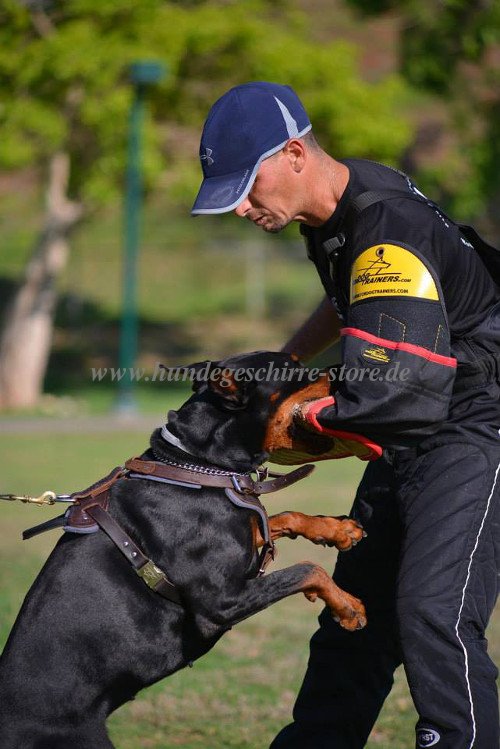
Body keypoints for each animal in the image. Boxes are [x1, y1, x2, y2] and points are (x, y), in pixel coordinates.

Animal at [0, 352, 368, 748]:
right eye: (291, 367)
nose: (344, 371)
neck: (197, 465)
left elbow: (282, 518)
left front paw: (338, 530)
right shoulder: (221, 602)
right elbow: (308, 569)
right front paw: (349, 607)